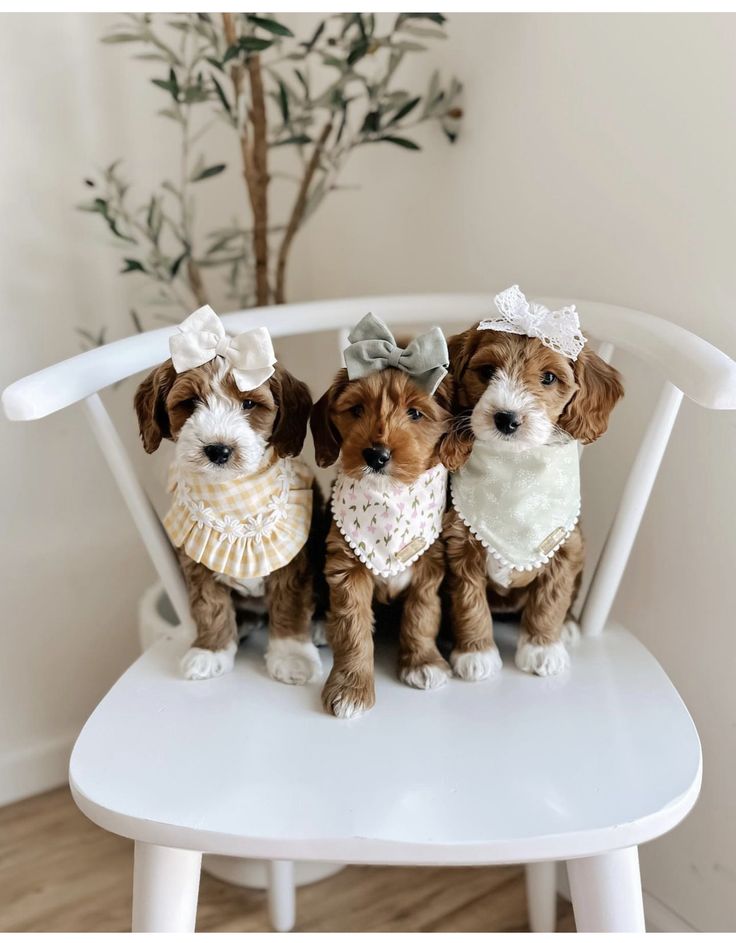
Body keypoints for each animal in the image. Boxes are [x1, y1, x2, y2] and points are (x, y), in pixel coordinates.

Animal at [134, 310, 322, 684]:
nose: (218, 449)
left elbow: (290, 607)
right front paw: (211, 651)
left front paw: (292, 656)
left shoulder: (292, 562)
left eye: (249, 403)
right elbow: (210, 606)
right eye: (189, 403)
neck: (233, 497)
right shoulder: (196, 558)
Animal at [440, 286, 624, 680]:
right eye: (487, 371)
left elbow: (550, 601)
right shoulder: (460, 547)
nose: (507, 418)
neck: (514, 467)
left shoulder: (565, 547)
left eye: (549, 378)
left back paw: (568, 627)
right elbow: (469, 602)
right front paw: (475, 653)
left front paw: (543, 648)